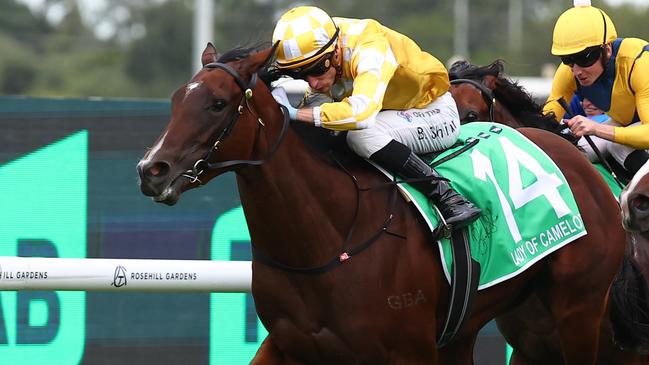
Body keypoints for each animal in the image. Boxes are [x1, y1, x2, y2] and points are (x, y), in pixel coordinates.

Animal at [138, 44, 628, 362]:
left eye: (218, 104)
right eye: (177, 99)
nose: (150, 169)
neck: (329, 239)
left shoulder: (408, 351)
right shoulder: (288, 344)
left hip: (578, 309)